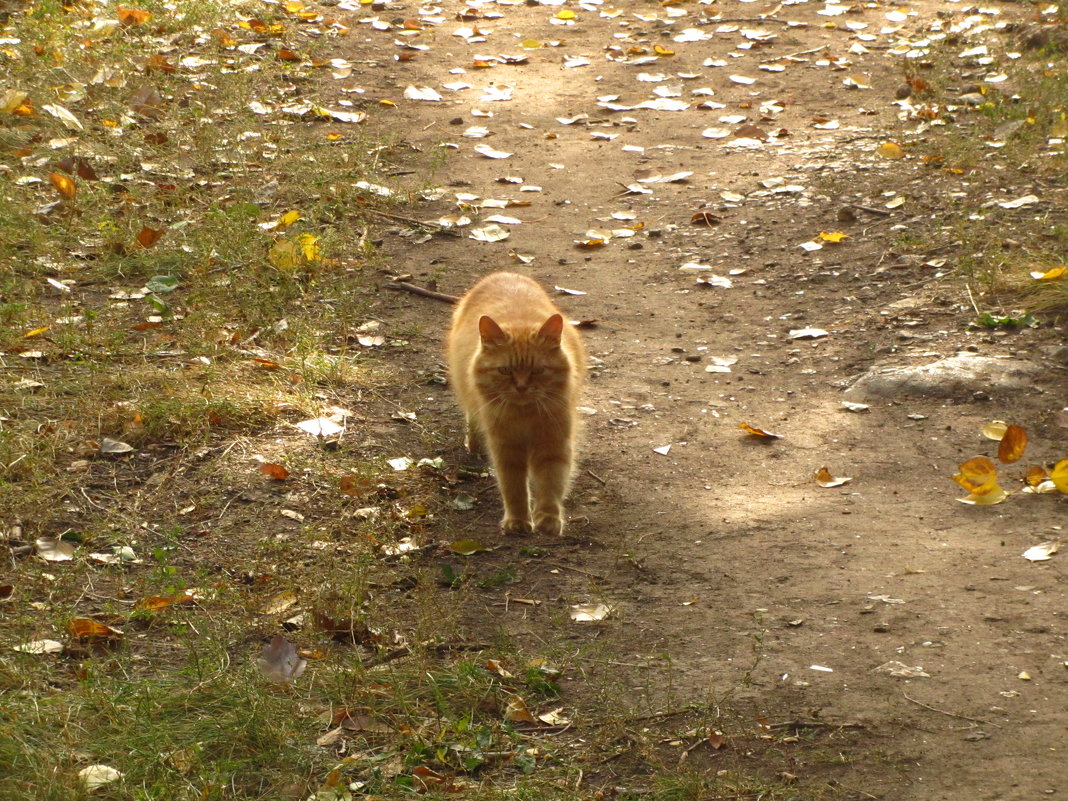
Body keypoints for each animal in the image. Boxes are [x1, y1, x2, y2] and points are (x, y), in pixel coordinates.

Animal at [446, 271, 589, 540]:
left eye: (537, 371)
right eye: (505, 371)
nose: (521, 387)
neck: (526, 416)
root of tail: (504, 273)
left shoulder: (553, 444)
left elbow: (550, 486)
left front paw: (547, 520)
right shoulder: (507, 448)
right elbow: (514, 489)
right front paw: (518, 521)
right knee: (472, 417)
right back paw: (473, 443)